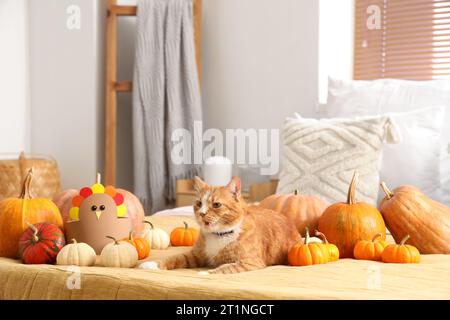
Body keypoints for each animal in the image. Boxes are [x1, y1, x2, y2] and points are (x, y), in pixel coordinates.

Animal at [141, 176, 302, 274]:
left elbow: (225, 268)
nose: (202, 213)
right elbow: (175, 258)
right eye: (199, 203)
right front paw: (152, 264)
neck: (219, 235)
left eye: (216, 205)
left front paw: (206, 272)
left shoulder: (249, 262)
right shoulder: (195, 256)